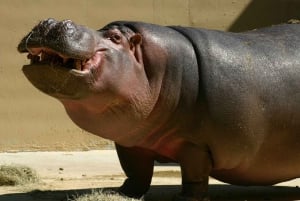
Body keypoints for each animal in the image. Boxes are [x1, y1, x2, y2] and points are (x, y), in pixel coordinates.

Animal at [17, 18, 300, 200]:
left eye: (115, 38)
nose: (50, 22)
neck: (157, 70)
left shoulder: (194, 144)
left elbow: (194, 173)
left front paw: (186, 197)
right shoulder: (131, 141)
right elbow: (136, 172)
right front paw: (121, 192)